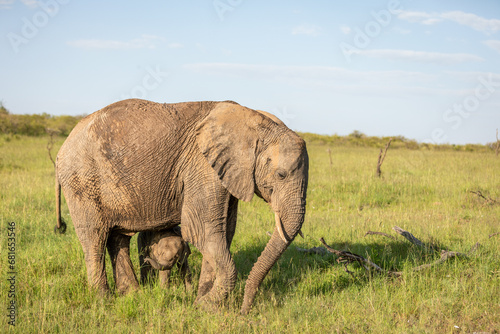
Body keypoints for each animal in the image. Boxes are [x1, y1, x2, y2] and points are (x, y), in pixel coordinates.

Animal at [52, 98, 306, 314]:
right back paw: (103, 301)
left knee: (117, 237)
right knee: (94, 237)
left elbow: (224, 232)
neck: (257, 123)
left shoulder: (226, 173)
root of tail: (60, 150)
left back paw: (131, 294)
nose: (245, 311)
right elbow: (203, 231)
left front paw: (201, 301)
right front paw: (206, 306)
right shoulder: (202, 166)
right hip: (81, 181)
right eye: (281, 175)